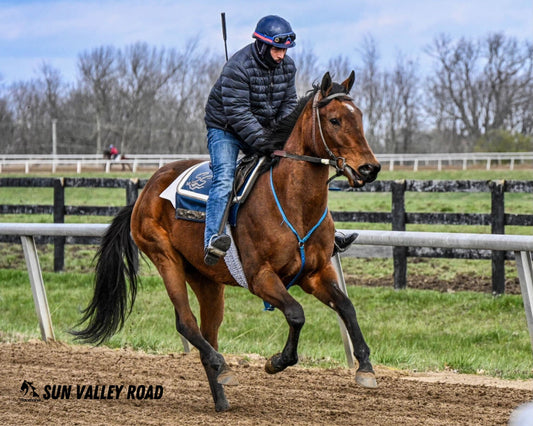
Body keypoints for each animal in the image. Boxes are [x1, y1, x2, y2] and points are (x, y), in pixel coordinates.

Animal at [75, 71, 380, 412]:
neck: (294, 204)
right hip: (164, 257)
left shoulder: (315, 273)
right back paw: (221, 364)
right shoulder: (260, 277)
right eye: (334, 119)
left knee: (208, 330)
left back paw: (221, 395)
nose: (369, 168)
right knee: (187, 323)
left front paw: (365, 368)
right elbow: (296, 314)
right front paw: (277, 361)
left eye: (360, 117)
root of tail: (145, 192)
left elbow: (346, 307)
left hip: (206, 279)